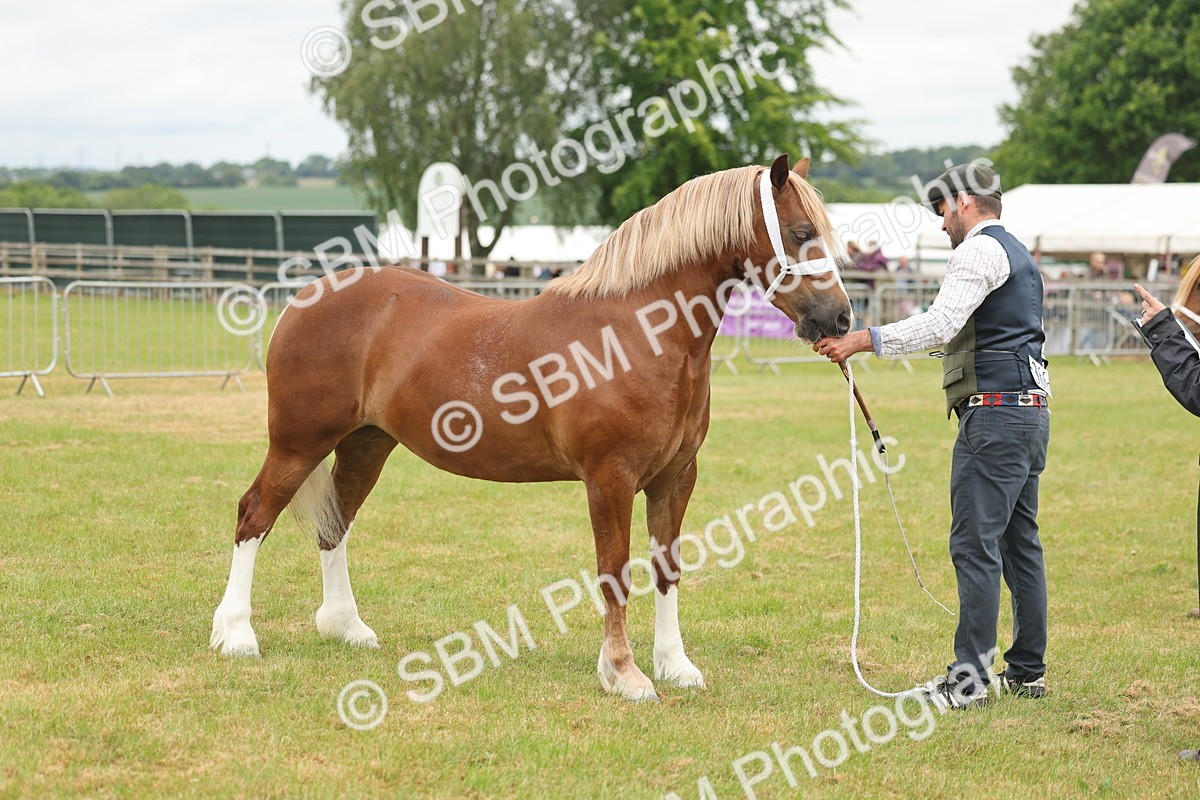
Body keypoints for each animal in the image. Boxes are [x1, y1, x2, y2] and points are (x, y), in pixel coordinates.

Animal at [210, 154, 854, 701]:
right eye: (801, 232)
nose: (841, 319)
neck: (638, 334)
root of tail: (305, 299)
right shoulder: (610, 479)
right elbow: (615, 572)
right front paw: (624, 675)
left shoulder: (676, 477)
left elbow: (667, 569)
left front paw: (676, 666)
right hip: (297, 443)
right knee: (253, 515)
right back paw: (236, 635)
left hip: (366, 445)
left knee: (334, 524)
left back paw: (347, 628)